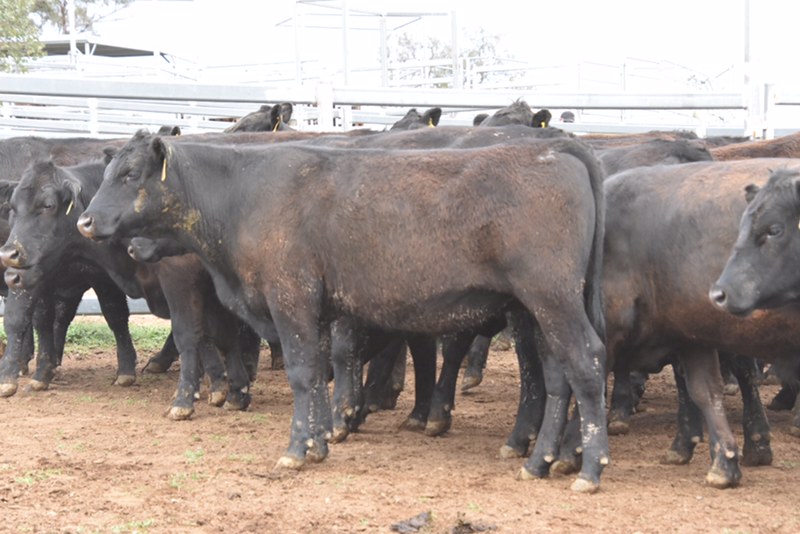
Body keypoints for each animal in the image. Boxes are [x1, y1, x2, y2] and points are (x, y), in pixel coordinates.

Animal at [77, 132, 608, 492]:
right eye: (107, 174)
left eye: (130, 175)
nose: (84, 221)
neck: (242, 195)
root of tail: (556, 149)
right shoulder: (315, 312)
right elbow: (316, 374)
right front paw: (318, 444)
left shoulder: (289, 299)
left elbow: (300, 373)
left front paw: (296, 450)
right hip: (538, 310)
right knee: (556, 377)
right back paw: (540, 461)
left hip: (552, 298)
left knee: (586, 364)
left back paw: (589, 468)